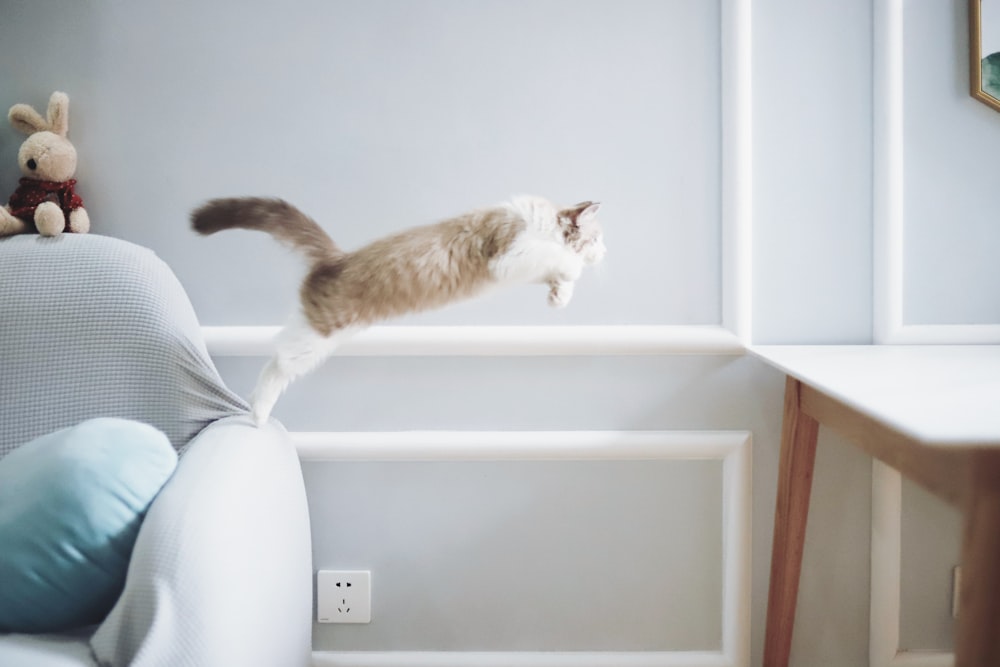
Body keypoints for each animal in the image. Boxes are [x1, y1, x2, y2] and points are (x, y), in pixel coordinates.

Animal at [191, 193, 604, 426]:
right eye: (599, 239)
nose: (606, 252)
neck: (538, 221)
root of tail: (337, 257)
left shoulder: (523, 269)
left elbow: (554, 273)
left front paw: (558, 296)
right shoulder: (510, 255)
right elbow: (559, 258)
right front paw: (571, 273)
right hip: (313, 339)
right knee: (274, 366)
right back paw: (257, 414)